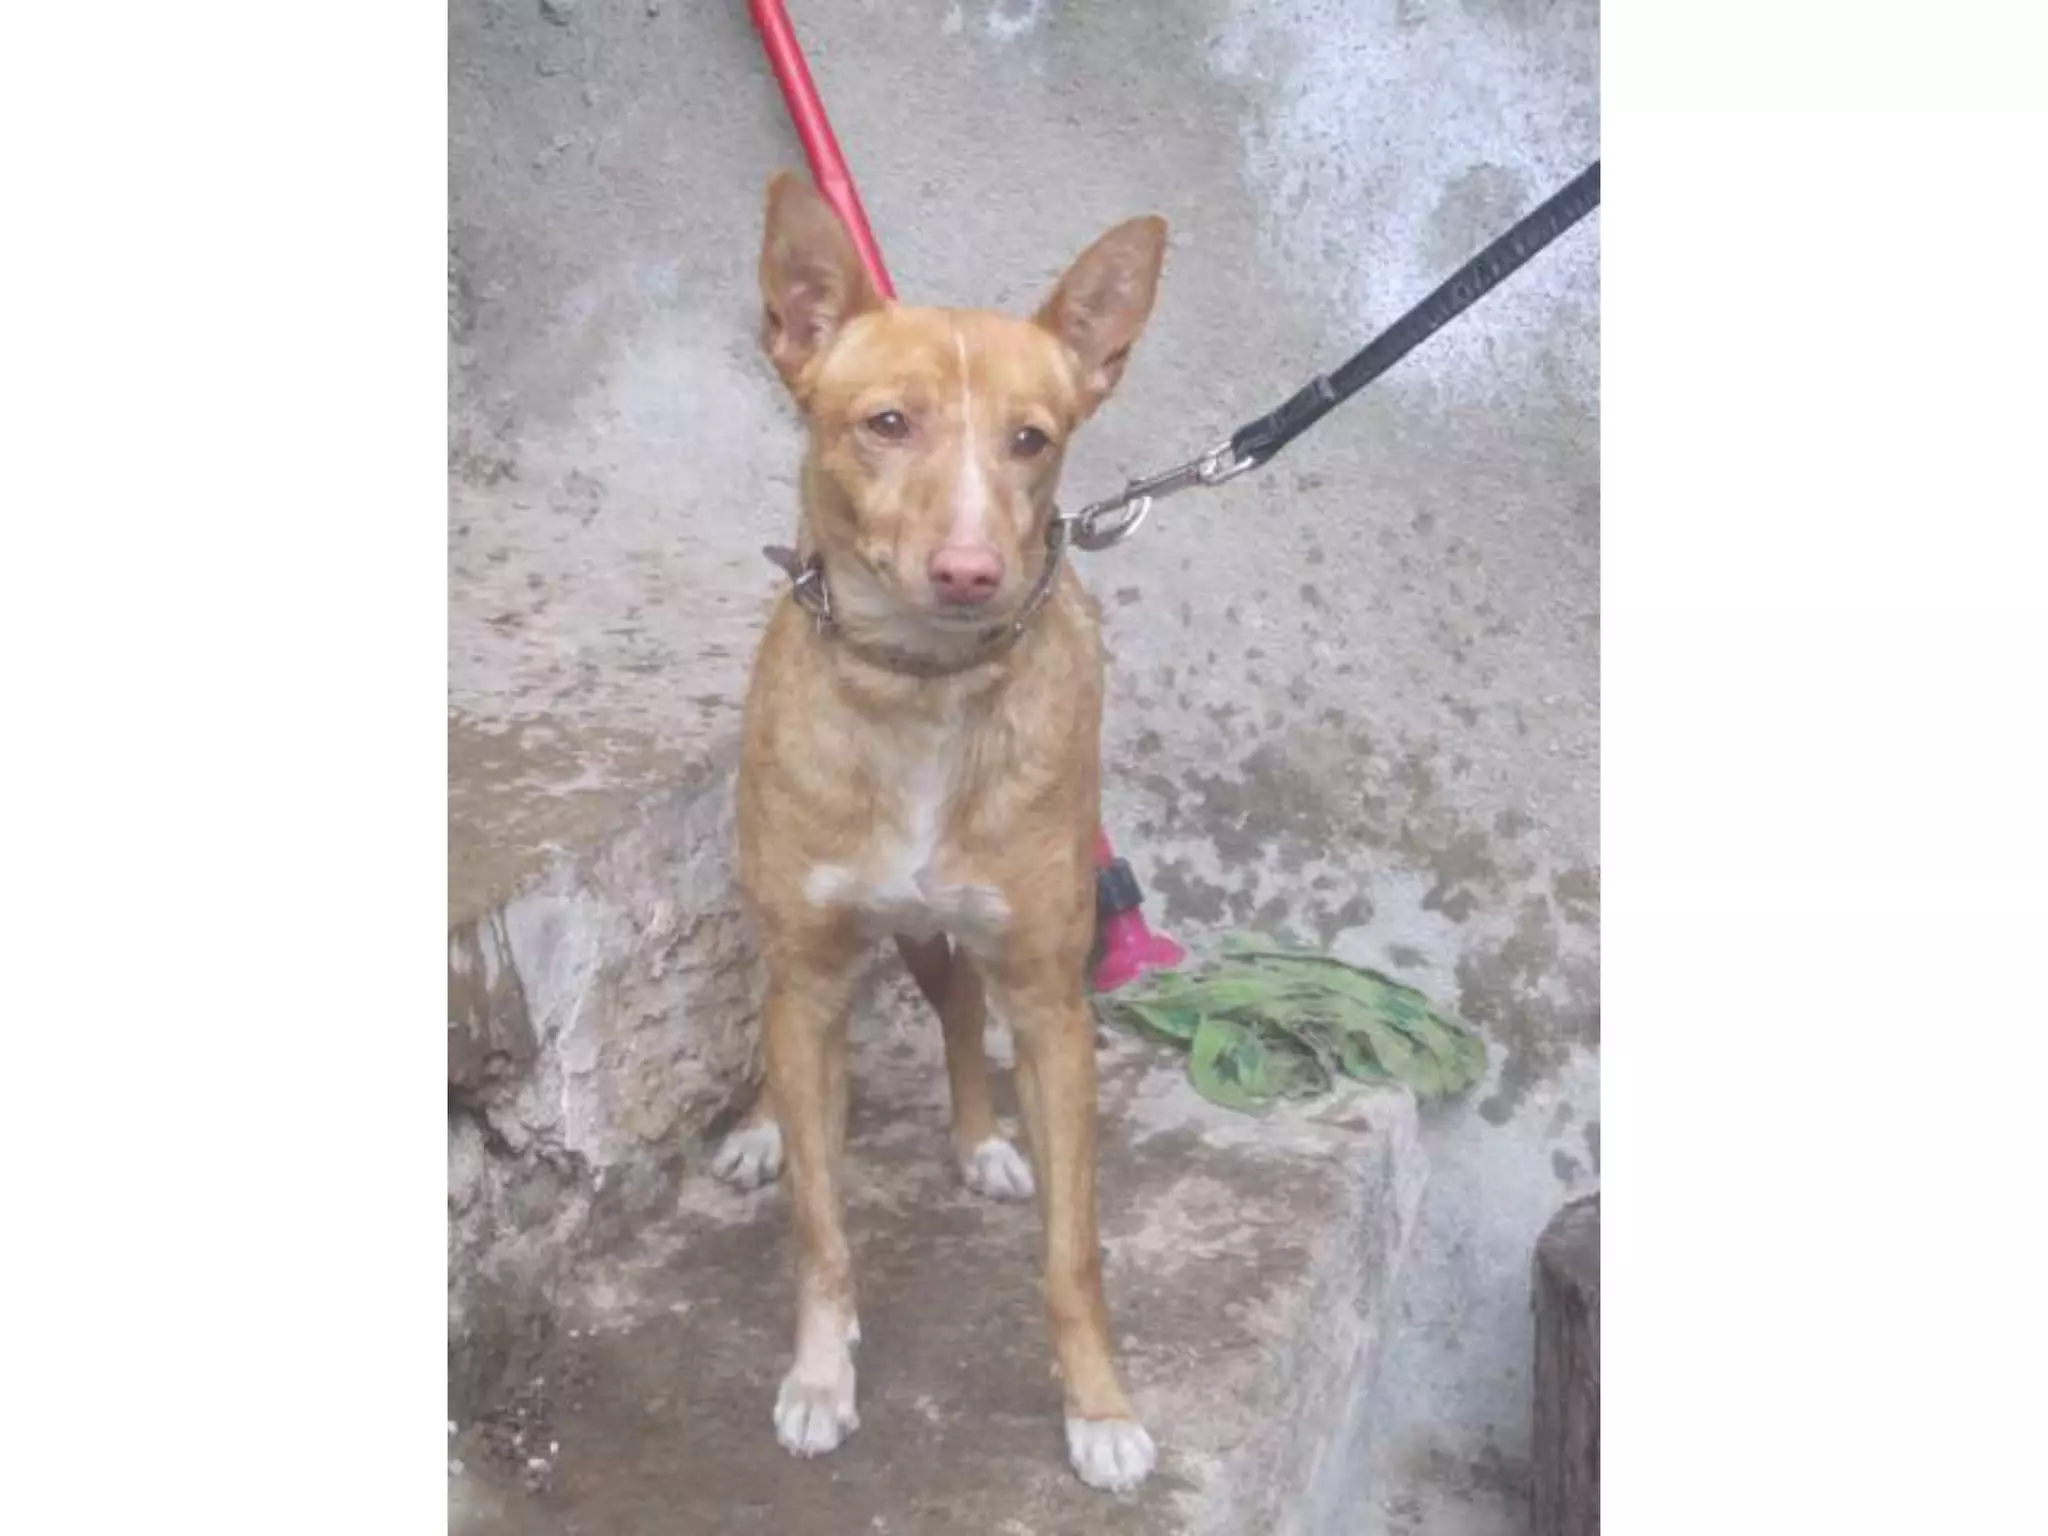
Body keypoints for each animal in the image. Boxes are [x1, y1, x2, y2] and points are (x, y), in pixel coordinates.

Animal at [711, 171, 1167, 1493]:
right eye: (884, 424)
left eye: (1032, 439)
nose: (969, 571)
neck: (917, 689)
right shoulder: (810, 976)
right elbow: (820, 1229)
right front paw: (820, 1376)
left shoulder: (1055, 1006)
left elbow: (1075, 1253)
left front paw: (1097, 1408)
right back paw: (762, 1128)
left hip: (942, 937)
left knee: (962, 1012)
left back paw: (979, 1142)